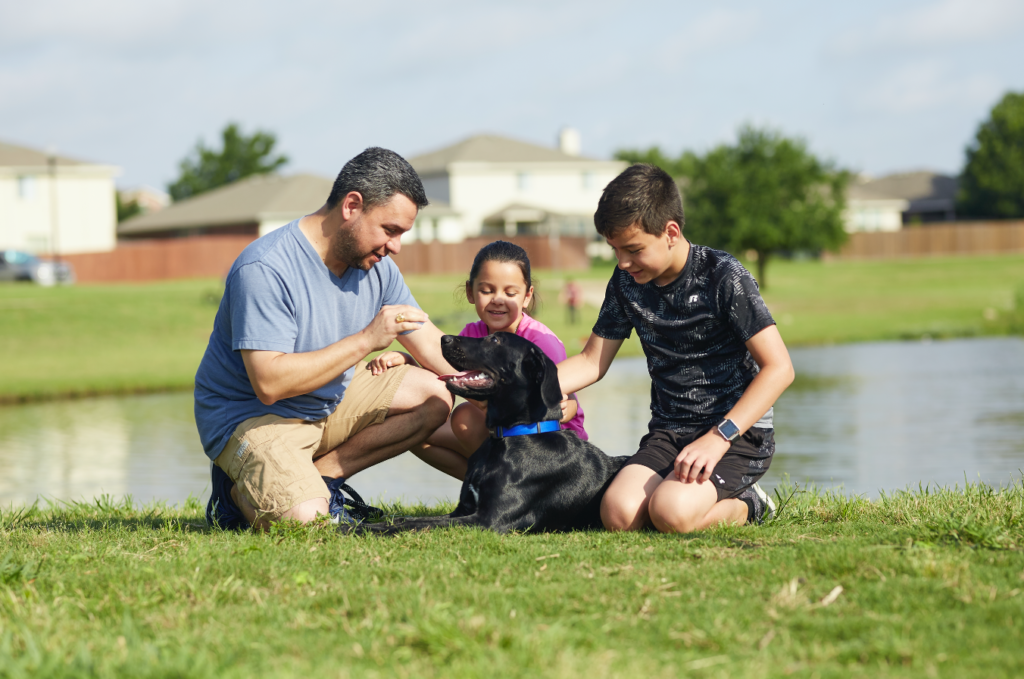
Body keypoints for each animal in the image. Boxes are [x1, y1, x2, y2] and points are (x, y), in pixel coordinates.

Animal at [360, 331, 630, 532]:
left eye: (495, 340)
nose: (444, 339)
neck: (509, 436)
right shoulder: (462, 510)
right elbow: (411, 520)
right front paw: (367, 523)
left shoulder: (488, 520)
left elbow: (414, 525)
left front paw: (362, 528)